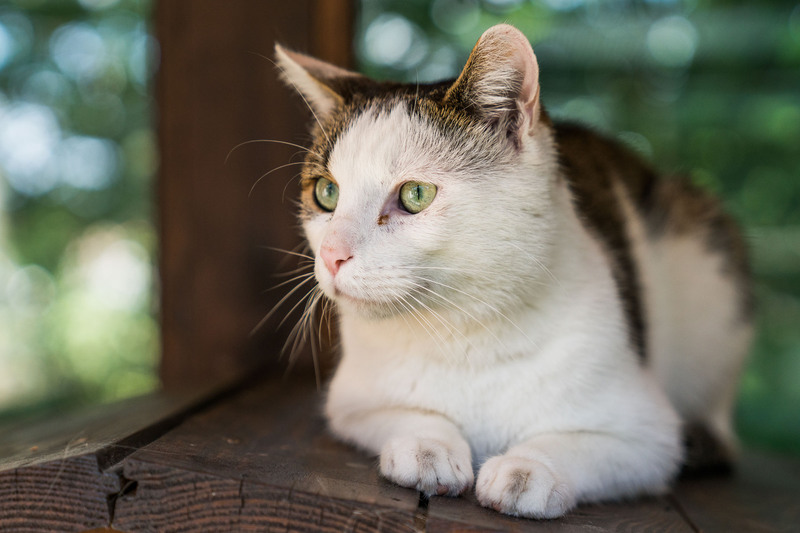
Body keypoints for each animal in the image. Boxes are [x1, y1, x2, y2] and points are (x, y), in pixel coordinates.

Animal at [274, 24, 752, 519]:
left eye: (416, 194)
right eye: (326, 193)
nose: (332, 254)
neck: (464, 334)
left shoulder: (648, 435)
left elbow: (576, 444)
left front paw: (528, 470)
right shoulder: (351, 402)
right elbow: (410, 413)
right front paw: (427, 445)